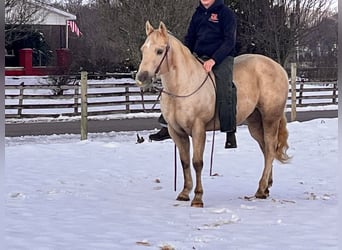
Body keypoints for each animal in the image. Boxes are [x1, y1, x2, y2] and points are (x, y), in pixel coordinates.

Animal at [135, 21, 290, 206]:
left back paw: (260, 189)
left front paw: (198, 198)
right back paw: (266, 187)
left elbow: (197, 163)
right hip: (255, 122)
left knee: (270, 148)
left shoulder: (198, 129)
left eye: (159, 51)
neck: (183, 85)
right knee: (266, 149)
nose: (141, 78)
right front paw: (185, 192)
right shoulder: (176, 132)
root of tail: (278, 68)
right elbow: (185, 162)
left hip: (270, 118)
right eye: (143, 49)